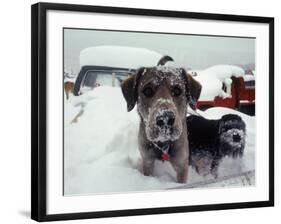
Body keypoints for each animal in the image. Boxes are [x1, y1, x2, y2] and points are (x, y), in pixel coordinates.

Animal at [120, 56, 201, 184]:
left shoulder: (182, 163)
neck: (163, 144)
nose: (165, 118)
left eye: (177, 90)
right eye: (147, 90)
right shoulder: (147, 160)